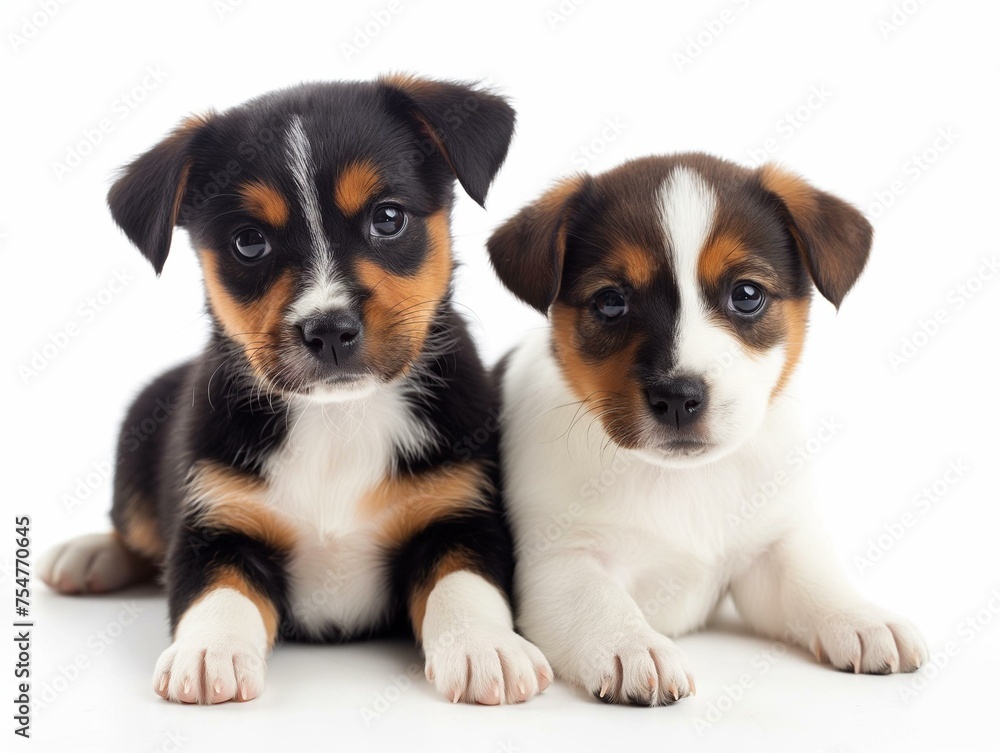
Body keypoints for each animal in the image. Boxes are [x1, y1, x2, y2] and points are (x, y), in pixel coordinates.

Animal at [39, 76, 552, 704]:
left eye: (388, 217)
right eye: (248, 242)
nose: (328, 330)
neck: (339, 418)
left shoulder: (459, 513)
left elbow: (465, 585)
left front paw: (486, 648)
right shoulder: (215, 525)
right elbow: (218, 592)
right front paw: (209, 653)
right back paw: (87, 554)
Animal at [488, 153, 924, 704]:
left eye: (746, 295)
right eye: (610, 301)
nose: (678, 398)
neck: (681, 479)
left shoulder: (769, 555)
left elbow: (813, 580)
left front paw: (860, 617)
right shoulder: (557, 563)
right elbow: (600, 600)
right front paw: (633, 645)